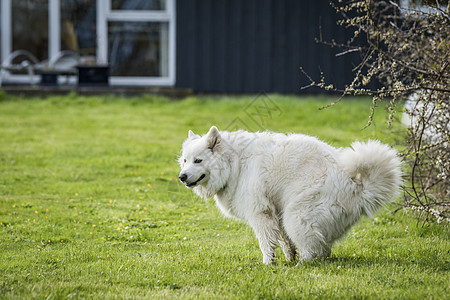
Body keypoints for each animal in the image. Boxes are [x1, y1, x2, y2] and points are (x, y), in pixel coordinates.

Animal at [178, 126, 402, 264]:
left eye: (198, 160)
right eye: (185, 161)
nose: (181, 176)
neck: (236, 164)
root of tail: (357, 186)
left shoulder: (261, 214)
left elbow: (266, 243)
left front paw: (268, 264)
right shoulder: (276, 213)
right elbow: (286, 242)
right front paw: (288, 258)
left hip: (296, 216)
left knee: (312, 252)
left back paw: (301, 266)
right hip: (294, 217)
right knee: (323, 249)